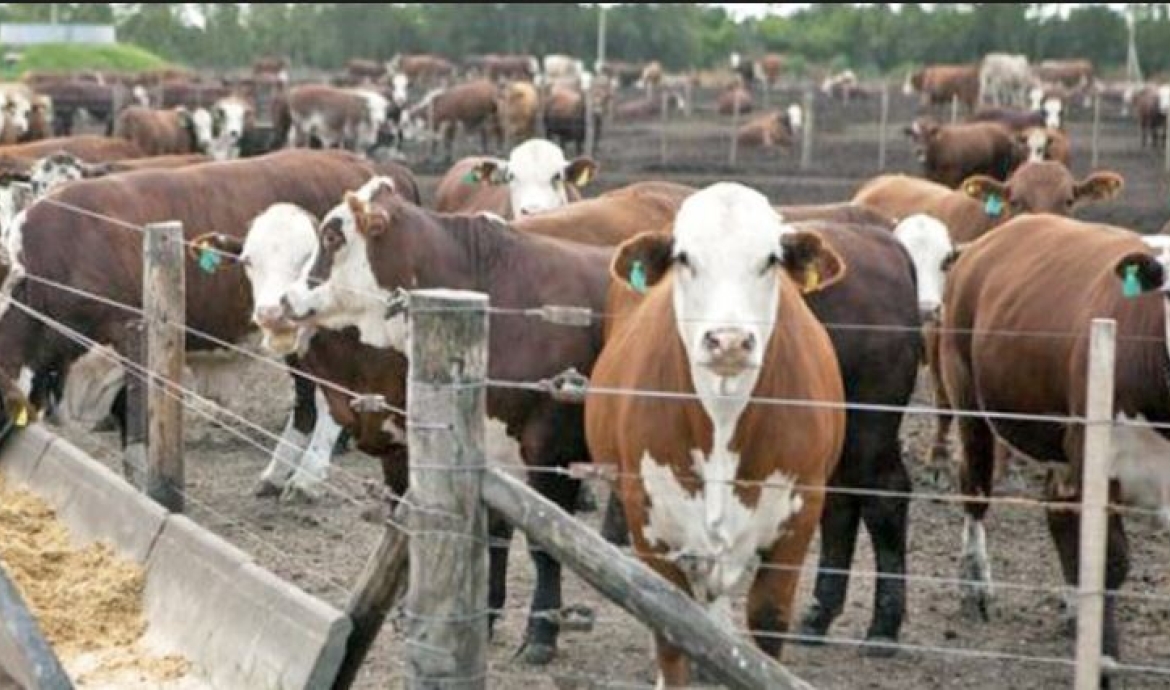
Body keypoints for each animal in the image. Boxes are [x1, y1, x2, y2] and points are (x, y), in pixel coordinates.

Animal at [0, 150, 420, 503]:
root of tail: (366, 167)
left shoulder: (131, 336)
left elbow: (135, 428)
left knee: (321, 401)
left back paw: (305, 477)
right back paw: (279, 474)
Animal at [278, 179, 616, 666]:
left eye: (331, 237)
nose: (284, 299)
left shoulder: (553, 450)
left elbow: (543, 549)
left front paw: (541, 633)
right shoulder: (490, 451)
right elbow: (492, 538)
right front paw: (486, 616)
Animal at [585, 183, 847, 686]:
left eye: (770, 259)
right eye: (684, 257)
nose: (728, 342)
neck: (723, 422)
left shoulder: (802, 512)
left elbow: (768, 619)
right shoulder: (649, 522)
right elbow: (671, 628)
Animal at [938, 216, 1170, 677]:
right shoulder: (1098, 459)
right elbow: (1109, 560)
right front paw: (1103, 658)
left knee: (1058, 514)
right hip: (969, 402)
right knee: (975, 492)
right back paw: (975, 587)